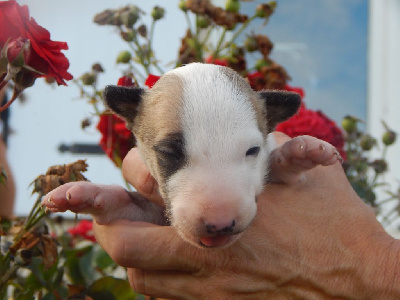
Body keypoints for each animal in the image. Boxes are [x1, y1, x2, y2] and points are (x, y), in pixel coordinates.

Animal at [42, 63, 340, 248]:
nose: (220, 224)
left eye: (253, 150)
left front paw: (300, 152)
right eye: (168, 152)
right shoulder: (153, 215)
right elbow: (125, 205)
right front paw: (85, 193)